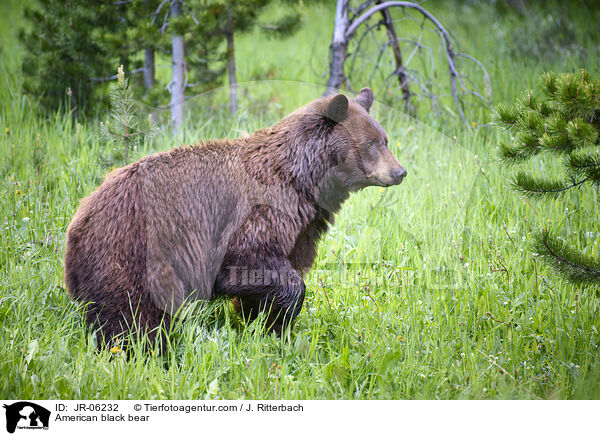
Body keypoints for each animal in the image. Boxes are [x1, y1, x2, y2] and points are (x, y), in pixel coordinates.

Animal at [63, 87, 406, 348]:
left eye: (385, 139)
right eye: (370, 143)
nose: (400, 171)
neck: (302, 178)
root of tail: (78, 221)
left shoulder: (301, 229)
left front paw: (263, 323)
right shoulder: (259, 215)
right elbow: (251, 263)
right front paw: (280, 321)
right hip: (132, 254)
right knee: (131, 317)